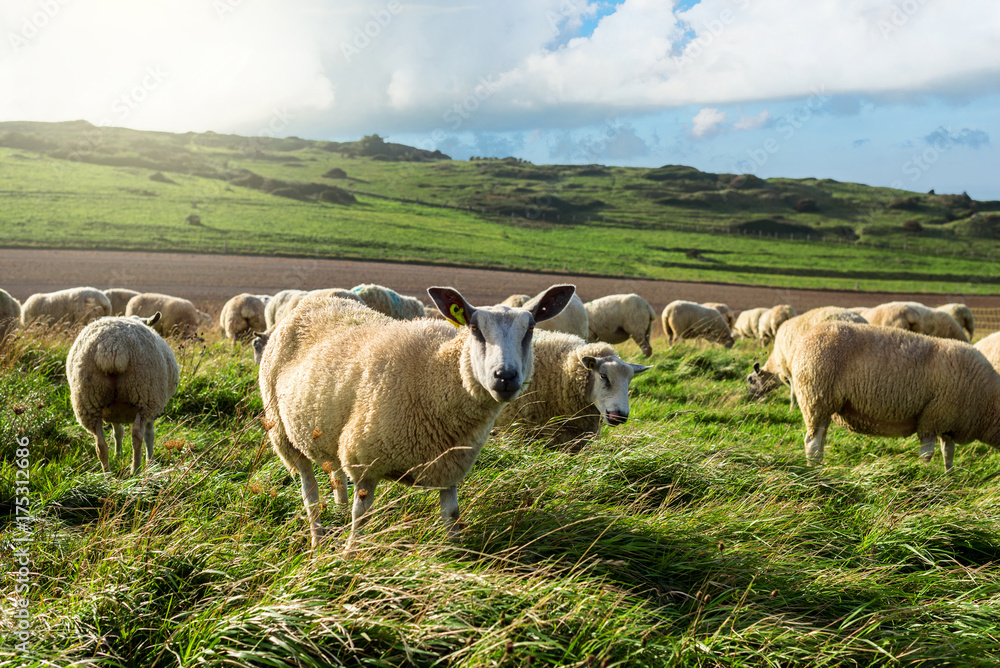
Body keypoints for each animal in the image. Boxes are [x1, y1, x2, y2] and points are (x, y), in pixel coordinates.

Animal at [65, 312, 179, 474]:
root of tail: (112, 347)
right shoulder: (153, 408)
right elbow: (149, 435)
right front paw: (150, 461)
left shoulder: (114, 411)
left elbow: (117, 432)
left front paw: (118, 456)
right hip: (146, 396)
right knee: (137, 436)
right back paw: (136, 470)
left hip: (88, 401)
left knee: (100, 444)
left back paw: (107, 474)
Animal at [258, 283, 576, 552]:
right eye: (475, 328)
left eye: (531, 329)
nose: (505, 376)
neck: (438, 373)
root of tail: (314, 301)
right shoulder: (363, 459)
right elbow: (360, 518)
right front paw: (349, 557)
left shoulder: (449, 466)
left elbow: (452, 516)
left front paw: (455, 557)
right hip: (283, 433)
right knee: (308, 490)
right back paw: (318, 539)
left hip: (325, 429)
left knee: (334, 471)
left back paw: (336, 510)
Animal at [789, 321, 1000, 471]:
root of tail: (803, 339)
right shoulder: (931, 419)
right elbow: (927, 454)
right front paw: (924, 474)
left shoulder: (948, 423)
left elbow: (948, 453)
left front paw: (950, 475)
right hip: (815, 397)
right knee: (812, 443)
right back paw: (815, 470)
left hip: (823, 404)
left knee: (819, 440)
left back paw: (819, 466)